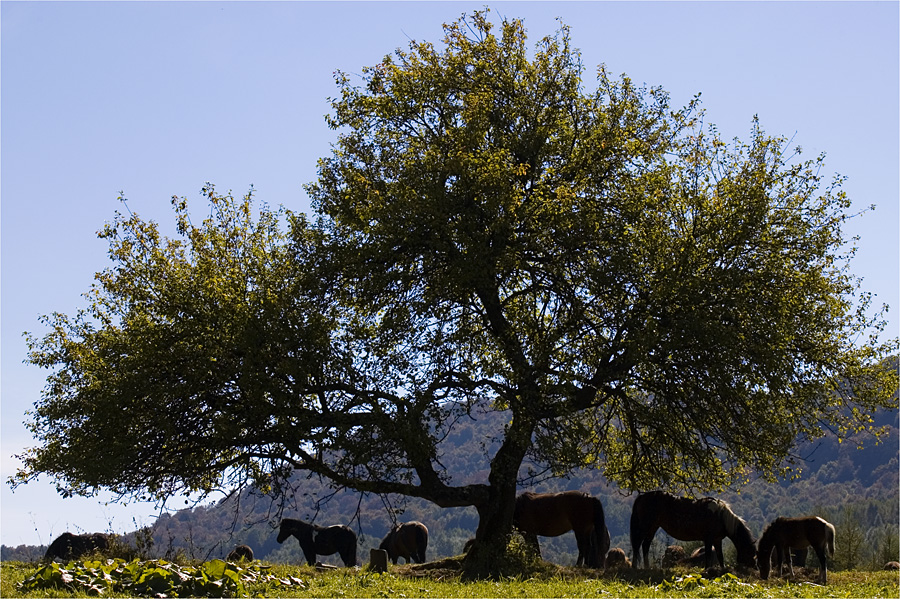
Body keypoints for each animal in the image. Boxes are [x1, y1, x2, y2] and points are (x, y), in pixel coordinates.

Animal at [628, 492, 756, 572]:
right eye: (751, 554)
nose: (755, 568)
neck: (721, 516)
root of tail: (642, 496)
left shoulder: (717, 540)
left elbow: (720, 557)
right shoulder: (708, 539)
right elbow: (708, 555)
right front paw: (707, 570)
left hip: (653, 527)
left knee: (645, 545)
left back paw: (647, 567)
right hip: (645, 527)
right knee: (637, 545)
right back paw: (634, 567)